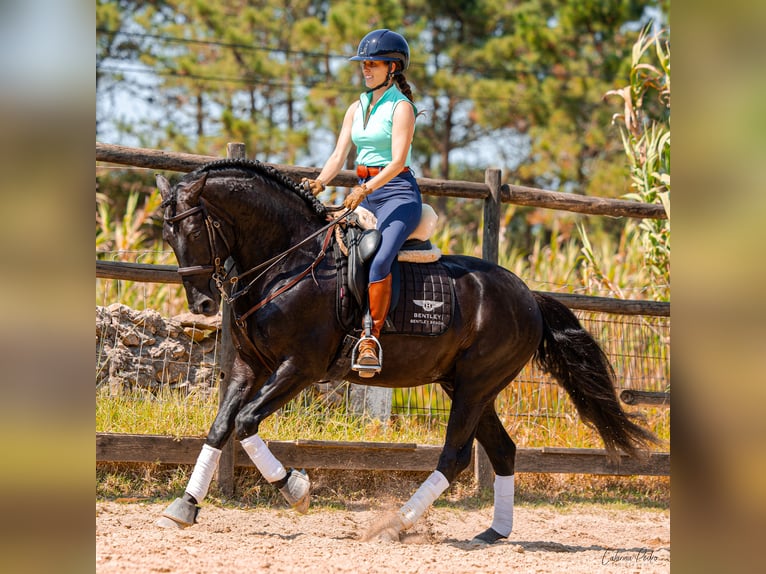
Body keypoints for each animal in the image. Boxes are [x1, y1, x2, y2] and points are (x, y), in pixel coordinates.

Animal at [154, 160, 660, 548]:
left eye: (196, 229)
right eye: (167, 236)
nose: (202, 305)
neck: (287, 263)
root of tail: (529, 298)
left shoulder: (299, 368)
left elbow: (245, 423)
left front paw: (296, 488)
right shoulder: (249, 366)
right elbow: (220, 427)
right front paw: (185, 506)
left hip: (474, 387)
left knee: (455, 457)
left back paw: (394, 525)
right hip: (468, 386)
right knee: (502, 450)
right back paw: (493, 533)